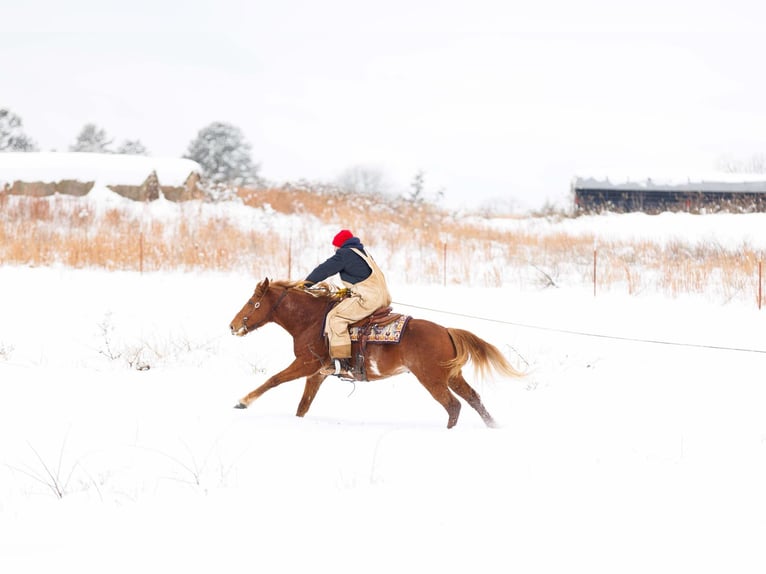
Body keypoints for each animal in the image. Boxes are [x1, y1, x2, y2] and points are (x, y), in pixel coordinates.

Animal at [228, 280, 524, 428]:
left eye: (253, 302)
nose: (232, 325)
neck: (312, 321)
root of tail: (446, 331)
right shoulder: (318, 373)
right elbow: (303, 405)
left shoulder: (305, 363)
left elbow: (274, 379)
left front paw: (243, 401)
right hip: (452, 376)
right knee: (474, 399)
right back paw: (494, 427)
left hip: (431, 378)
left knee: (453, 406)